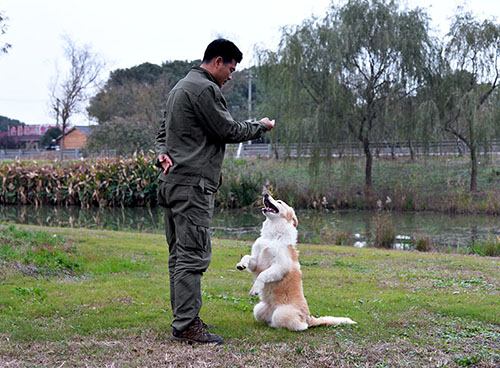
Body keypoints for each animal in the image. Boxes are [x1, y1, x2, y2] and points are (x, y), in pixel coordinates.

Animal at [235, 194, 356, 332]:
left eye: (279, 202)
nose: (266, 194)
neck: (272, 236)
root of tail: (308, 318)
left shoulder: (279, 267)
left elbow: (263, 275)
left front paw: (255, 289)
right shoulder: (256, 263)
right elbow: (247, 257)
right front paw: (241, 264)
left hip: (281, 313)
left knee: (301, 326)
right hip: (258, 309)